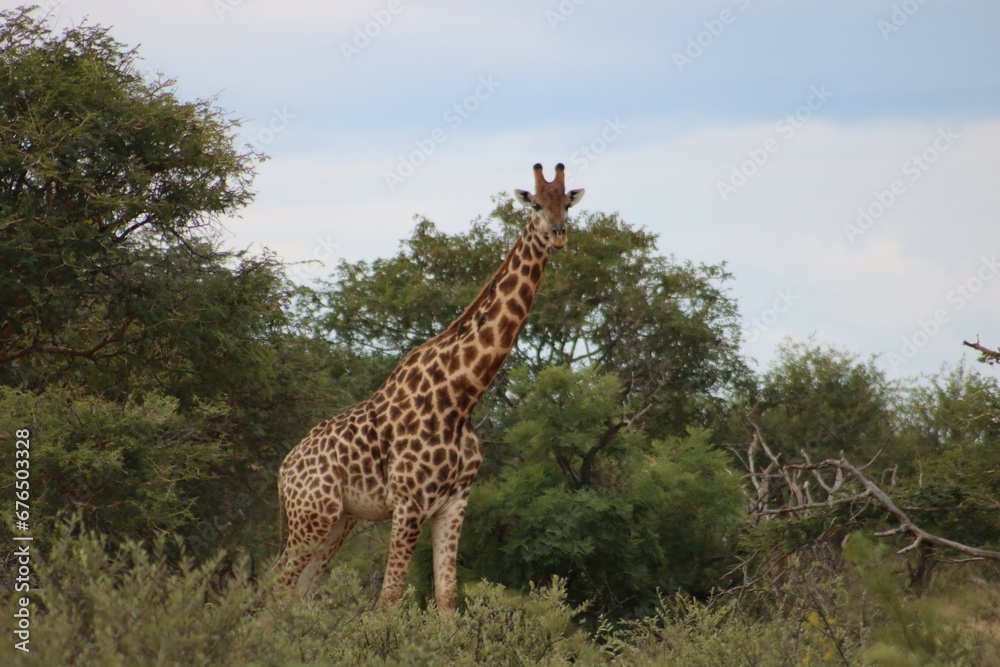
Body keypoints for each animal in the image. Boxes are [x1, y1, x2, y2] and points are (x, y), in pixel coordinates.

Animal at [274, 163, 584, 616]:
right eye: (536, 205)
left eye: (568, 204)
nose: (559, 234)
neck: (461, 396)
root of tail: (283, 471)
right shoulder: (410, 501)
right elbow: (389, 597)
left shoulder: (454, 503)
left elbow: (447, 596)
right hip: (312, 513)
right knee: (275, 584)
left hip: (339, 520)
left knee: (296, 592)